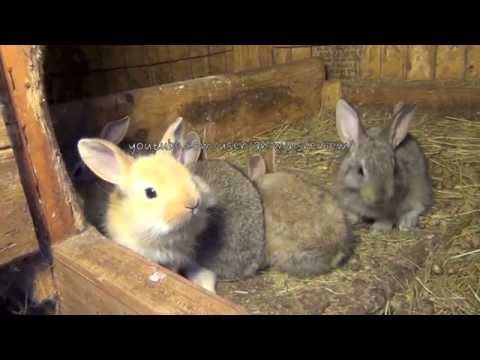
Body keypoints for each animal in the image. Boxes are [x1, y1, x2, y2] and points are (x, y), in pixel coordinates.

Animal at [332, 100, 434, 232]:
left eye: (394, 169)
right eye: (360, 171)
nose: (380, 197)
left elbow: (387, 219)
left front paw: (378, 229)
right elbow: (352, 213)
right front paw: (349, 220)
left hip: (419, 189)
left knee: (418, 207)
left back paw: (405, 224)